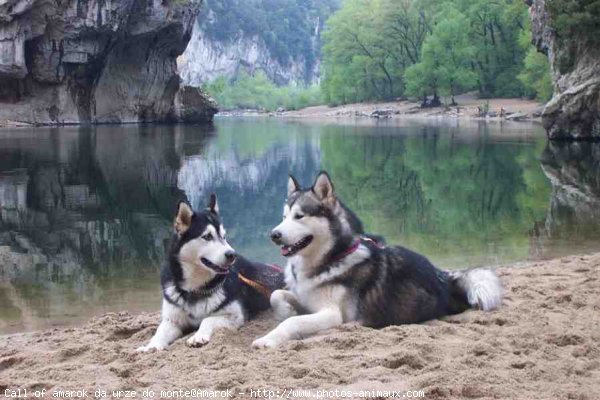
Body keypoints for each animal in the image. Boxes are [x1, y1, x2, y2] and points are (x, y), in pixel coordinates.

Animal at [138, 195, 284, 352]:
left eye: (224, 236)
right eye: (207, 236)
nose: (232, 254)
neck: (195, 289)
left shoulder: (236, 314)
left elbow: (207, 319)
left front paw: (198, 336)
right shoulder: (172, 320)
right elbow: (159, 332)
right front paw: (150, 346)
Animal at [251, 170, 504, 348]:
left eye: (299, 216)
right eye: (284, 217)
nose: (274, 234)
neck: (331, 257)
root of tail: (445, 278)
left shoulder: (333, 314)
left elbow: (292, 322)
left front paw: (268, 339)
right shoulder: (305, 297)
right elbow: (276, 295)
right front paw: (285, 310)